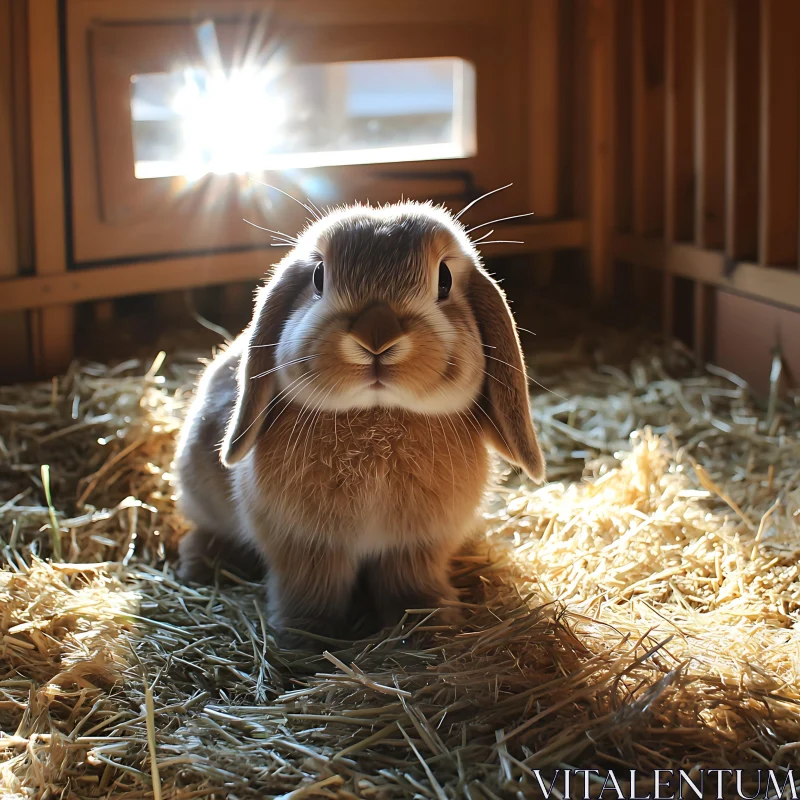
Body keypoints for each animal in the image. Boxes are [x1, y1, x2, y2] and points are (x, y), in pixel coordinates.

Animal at [174, 200, 544, 644]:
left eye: (444, 279)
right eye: (318, 277)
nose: (377, 336)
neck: (376, 416)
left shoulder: (416, 545)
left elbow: (408, 583)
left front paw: (429, 624)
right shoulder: (305, 544)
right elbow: (312, 588)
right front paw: (305, 635)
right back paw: (198, 565)